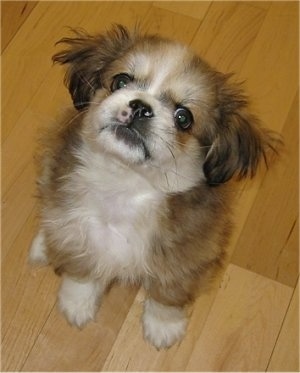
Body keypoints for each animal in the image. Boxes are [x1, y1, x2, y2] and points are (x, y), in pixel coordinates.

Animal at [29, 24, 278, 348]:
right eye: (120, 81)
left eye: (183, 117)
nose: (140, 107)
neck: (124, 185)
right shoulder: (78, 236)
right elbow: (82, 272)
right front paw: (77, 303)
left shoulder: (185, 258)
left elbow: (167, 296)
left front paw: (163, 326)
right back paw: (42, 246)